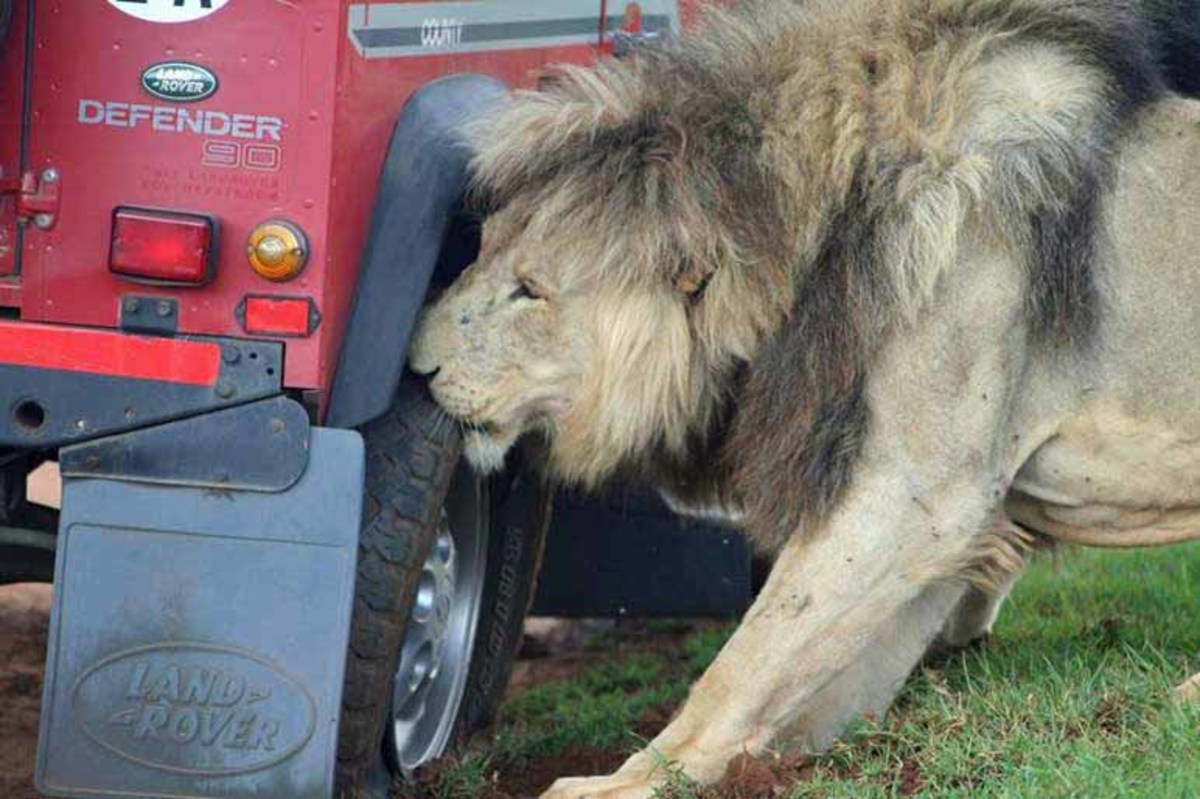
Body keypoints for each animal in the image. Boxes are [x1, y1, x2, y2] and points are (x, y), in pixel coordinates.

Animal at [408, 3, 1195, 791]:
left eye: (530, 291)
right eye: (482, 246)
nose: (415, 364)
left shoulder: (919, 493)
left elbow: (741, 664)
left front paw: (622, 781)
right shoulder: (950, 524)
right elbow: (813, 680)